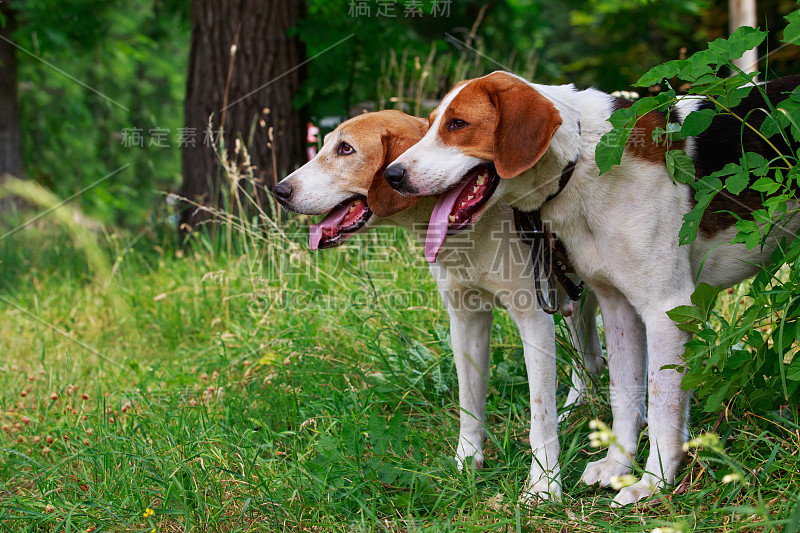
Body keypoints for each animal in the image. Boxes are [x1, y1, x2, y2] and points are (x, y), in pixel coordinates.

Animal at [272, 110, 604, 500]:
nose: (279, 191)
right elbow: (469, 401)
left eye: (345, 149)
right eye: (324, 145)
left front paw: (543, 486)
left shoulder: (535, 318)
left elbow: (541, 415)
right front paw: (468, 461)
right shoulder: (465, 319)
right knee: (590, 359)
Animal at [380, 72, 800, 504]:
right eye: (430, 124)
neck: (582, 159)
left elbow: (661, 406)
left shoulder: (665, 308)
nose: (392, 175)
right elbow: (624, 394)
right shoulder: (618, 306)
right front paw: (618, 466)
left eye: (458, 124)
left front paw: (653, 482)